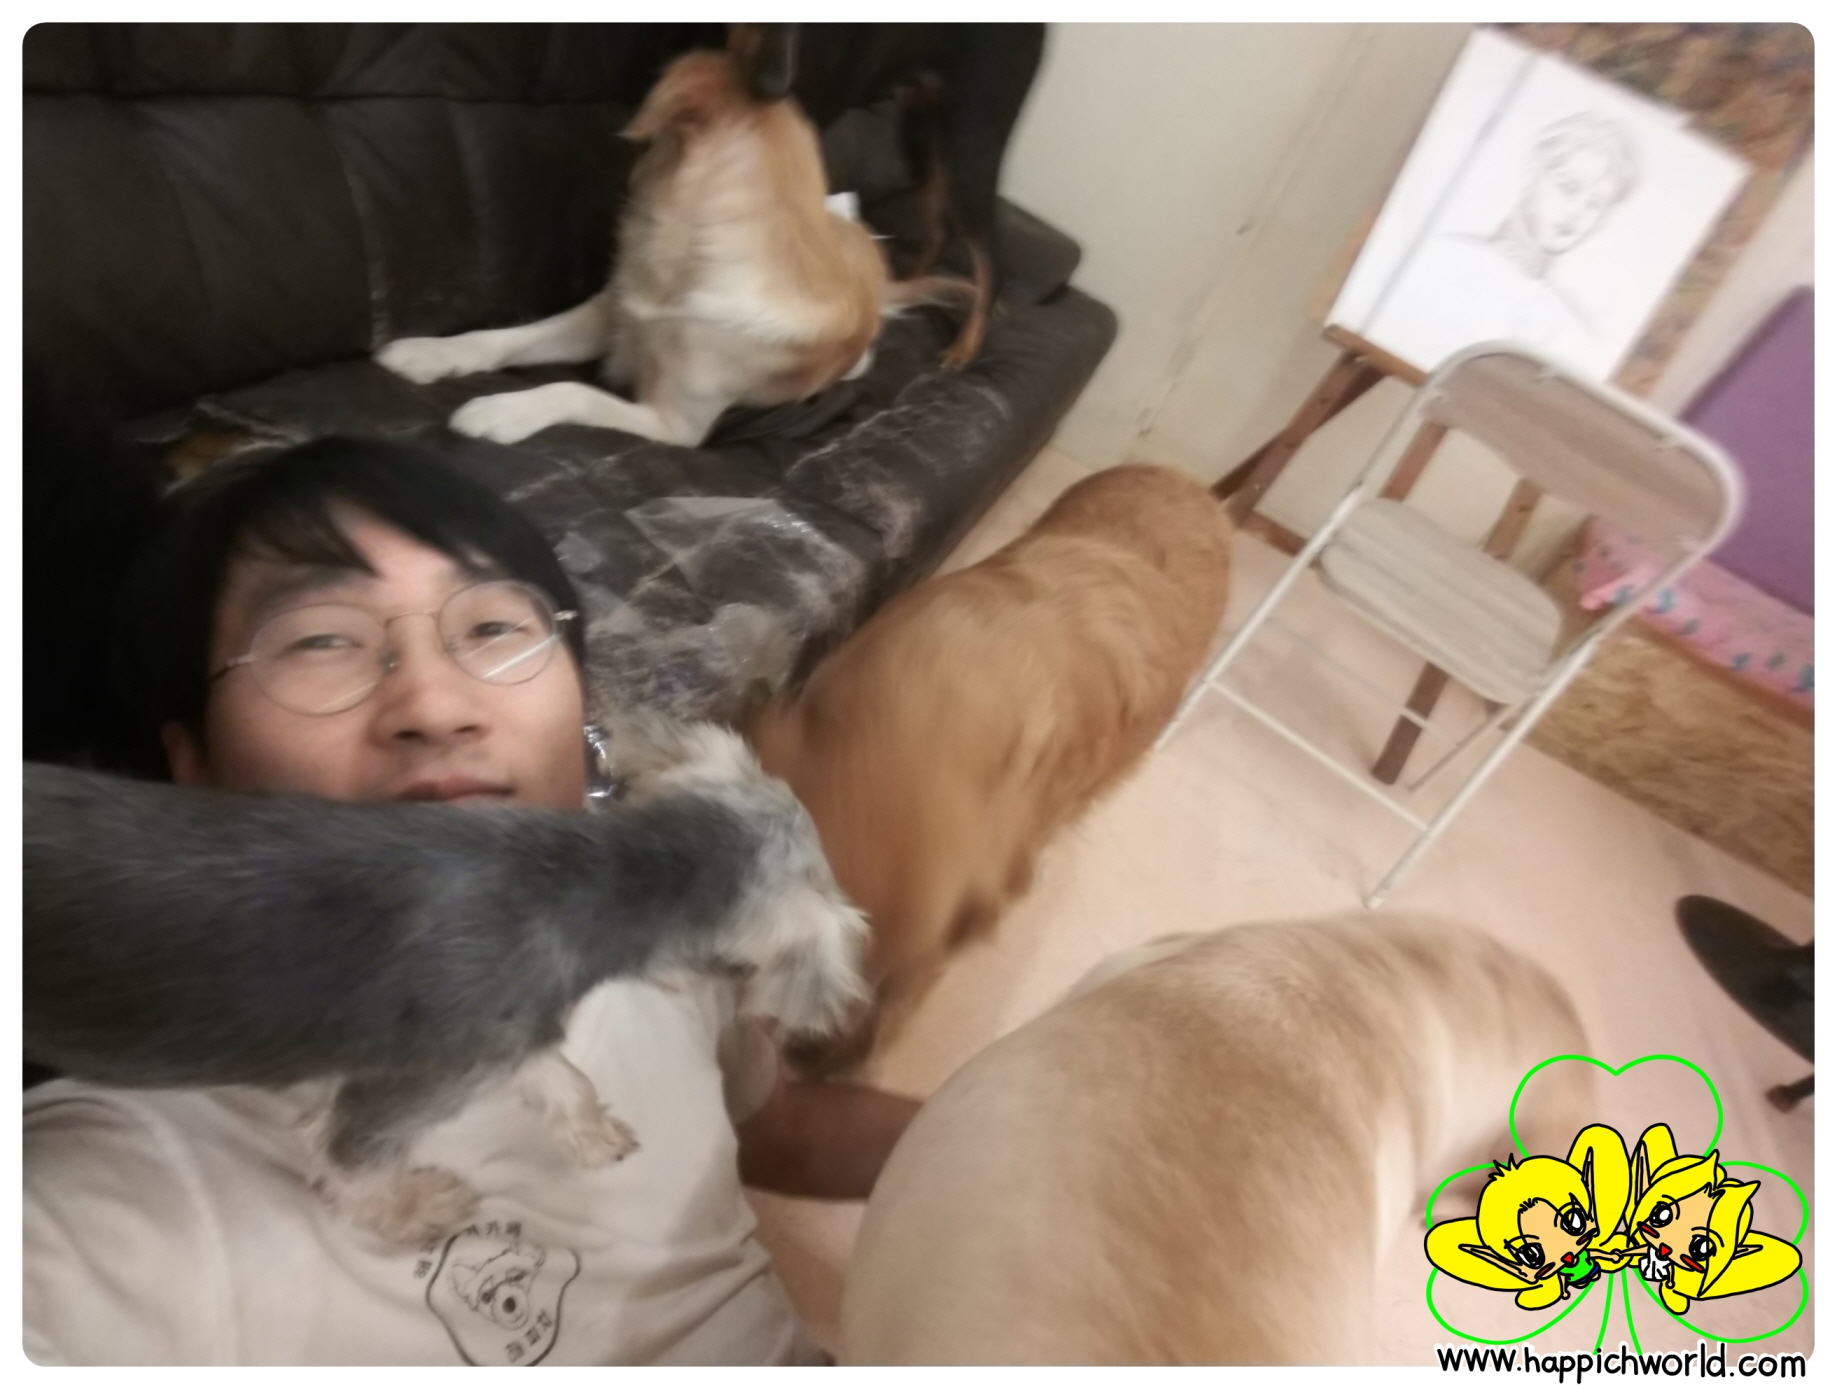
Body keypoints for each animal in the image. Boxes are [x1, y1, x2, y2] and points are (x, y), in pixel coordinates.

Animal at [374, 33, 971, 449]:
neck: (689, 261)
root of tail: (882, 276)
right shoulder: (609, 320)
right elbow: (502, 338)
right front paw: (430, 353)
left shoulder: (672, 423)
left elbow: (573, 390)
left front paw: (502, 411)